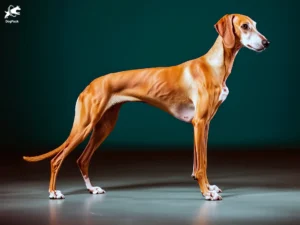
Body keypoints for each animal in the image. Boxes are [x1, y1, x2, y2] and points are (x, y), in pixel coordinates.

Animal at [23, 14, 270, 200]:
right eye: (245, 26)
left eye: (256, 25)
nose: (267, 43)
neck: (215, 65)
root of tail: (89, 85)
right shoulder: (199, 123)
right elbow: (202, 164)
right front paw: (206, 193)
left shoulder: (204, 125)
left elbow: (201, 161)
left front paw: (208, 188)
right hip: (84, 126)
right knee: (57, 159)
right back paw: (53, 192)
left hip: (103, 127)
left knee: (82, 159)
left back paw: (92, 189)